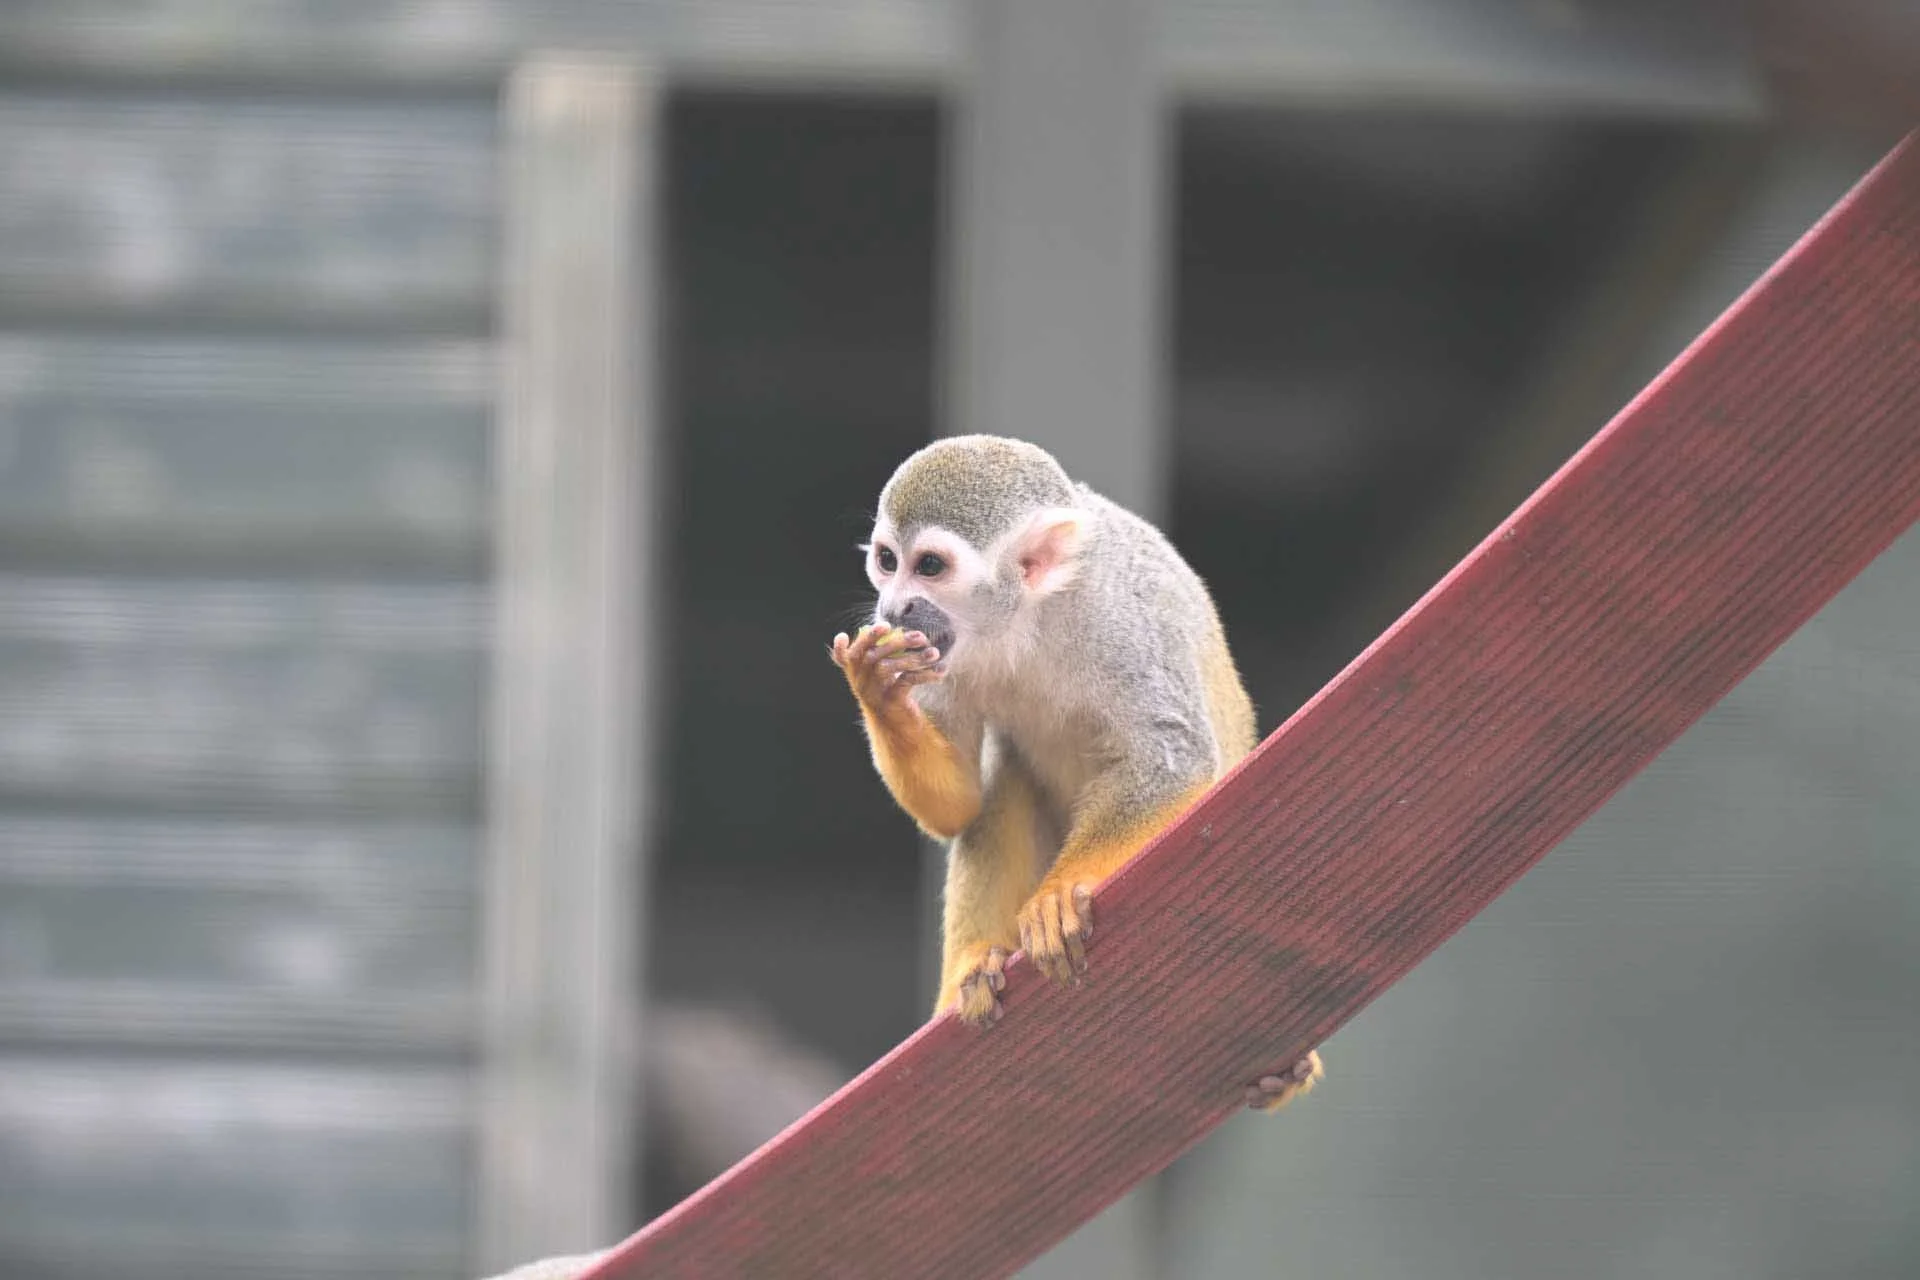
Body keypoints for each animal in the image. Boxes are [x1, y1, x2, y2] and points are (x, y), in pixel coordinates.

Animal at [829, 435, 1322, 1113]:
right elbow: (957, 805)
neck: (1025, 618)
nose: (893, 606)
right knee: (998, 789)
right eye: (886, 560)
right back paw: (968, 976)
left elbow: (1169, 758)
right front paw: (878, 690)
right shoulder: (936, 651)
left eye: (928, 566)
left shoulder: (1124, 625)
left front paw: (1058, 898)